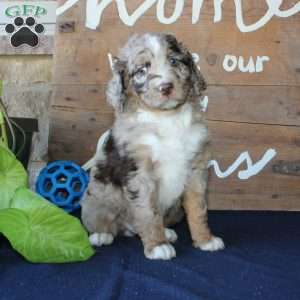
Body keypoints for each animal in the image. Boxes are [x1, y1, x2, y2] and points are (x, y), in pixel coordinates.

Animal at [81, 32, 224, 258]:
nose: (166, 87)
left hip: (175, 211)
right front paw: (157, 246)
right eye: (142, 70)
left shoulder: (196, 169)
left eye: (174, 61)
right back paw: (102, 235)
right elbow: (148, 213)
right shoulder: (140, 172)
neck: (167, 117)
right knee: (101, 219)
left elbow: (198, 209)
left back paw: (167, 232)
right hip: (97, 195)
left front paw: (205, 240)